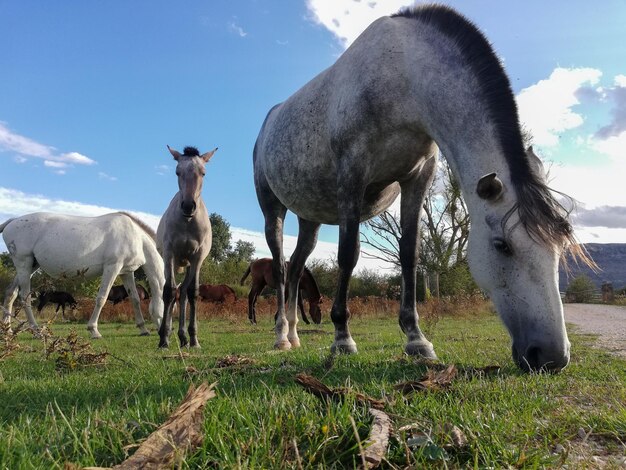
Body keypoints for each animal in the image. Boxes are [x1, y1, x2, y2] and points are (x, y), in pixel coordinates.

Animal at [0, 210, 165, 338]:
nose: (163, 333)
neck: (135, 236)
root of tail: (12, 221)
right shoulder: (112, 267)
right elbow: (101, 298)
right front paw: (94, 330)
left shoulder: (126, 272)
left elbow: (135, 299)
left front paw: (143, 329)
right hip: (24, 263)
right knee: (24, 297)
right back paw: (36, 331)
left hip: (31, 266)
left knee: (10, 293)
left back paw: (7, 331)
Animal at [157, 145, 216, 346]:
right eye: (177, 172)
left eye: (203, 173)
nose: (188, 206)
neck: (187, 222)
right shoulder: (170, 254)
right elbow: (168, 292)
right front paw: (163, 339)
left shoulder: (197, 258)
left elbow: (193, 293)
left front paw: (193, 339)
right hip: (174, 262)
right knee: (173, 291)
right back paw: (167, 333)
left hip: (189, 264)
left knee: (182, 292)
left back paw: (183, 336)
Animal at [251, 4, 588, 370]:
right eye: (502, 245)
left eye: (561, 247)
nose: (552, 357)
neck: (402, 77)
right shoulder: (352, 177)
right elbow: (348, 254)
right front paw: (342, 338)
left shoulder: (418, 176)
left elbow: (410, 254)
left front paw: (416, 339)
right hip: (272, 209)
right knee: (281, 268)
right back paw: (281, 336)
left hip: (309, 219)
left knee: (297, 267)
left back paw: (294, 334)